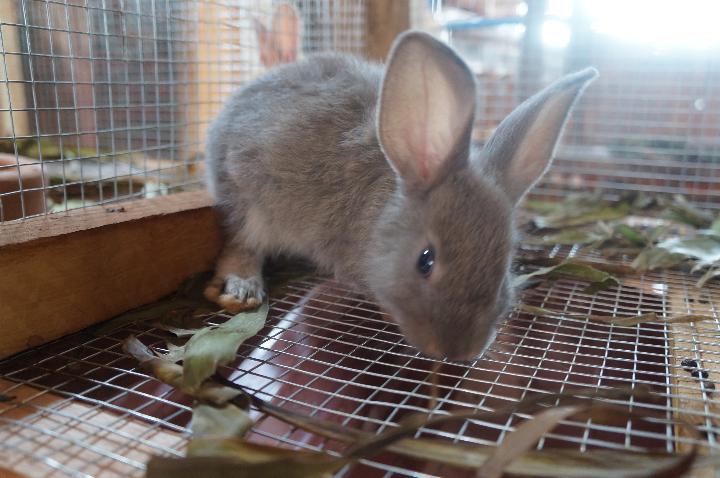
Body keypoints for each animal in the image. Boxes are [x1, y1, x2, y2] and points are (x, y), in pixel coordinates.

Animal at [203, 30, 597, 361]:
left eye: (505, 266)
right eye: (425, 261)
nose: (457, 351)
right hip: (251, 205)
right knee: (240, 245)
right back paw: (243, 288)